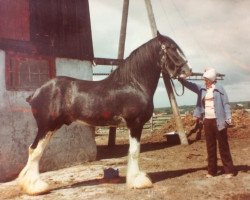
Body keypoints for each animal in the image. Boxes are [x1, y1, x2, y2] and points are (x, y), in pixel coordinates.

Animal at [17, 32, 191, 195]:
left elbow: (132, 151)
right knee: (35, 151)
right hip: (46, 127)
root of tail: (35, 93)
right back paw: (36, 187)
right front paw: (138, 181)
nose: (187, 71)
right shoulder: (135, 124)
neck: (134, 84)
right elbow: (135, 151)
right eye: (170, 48)